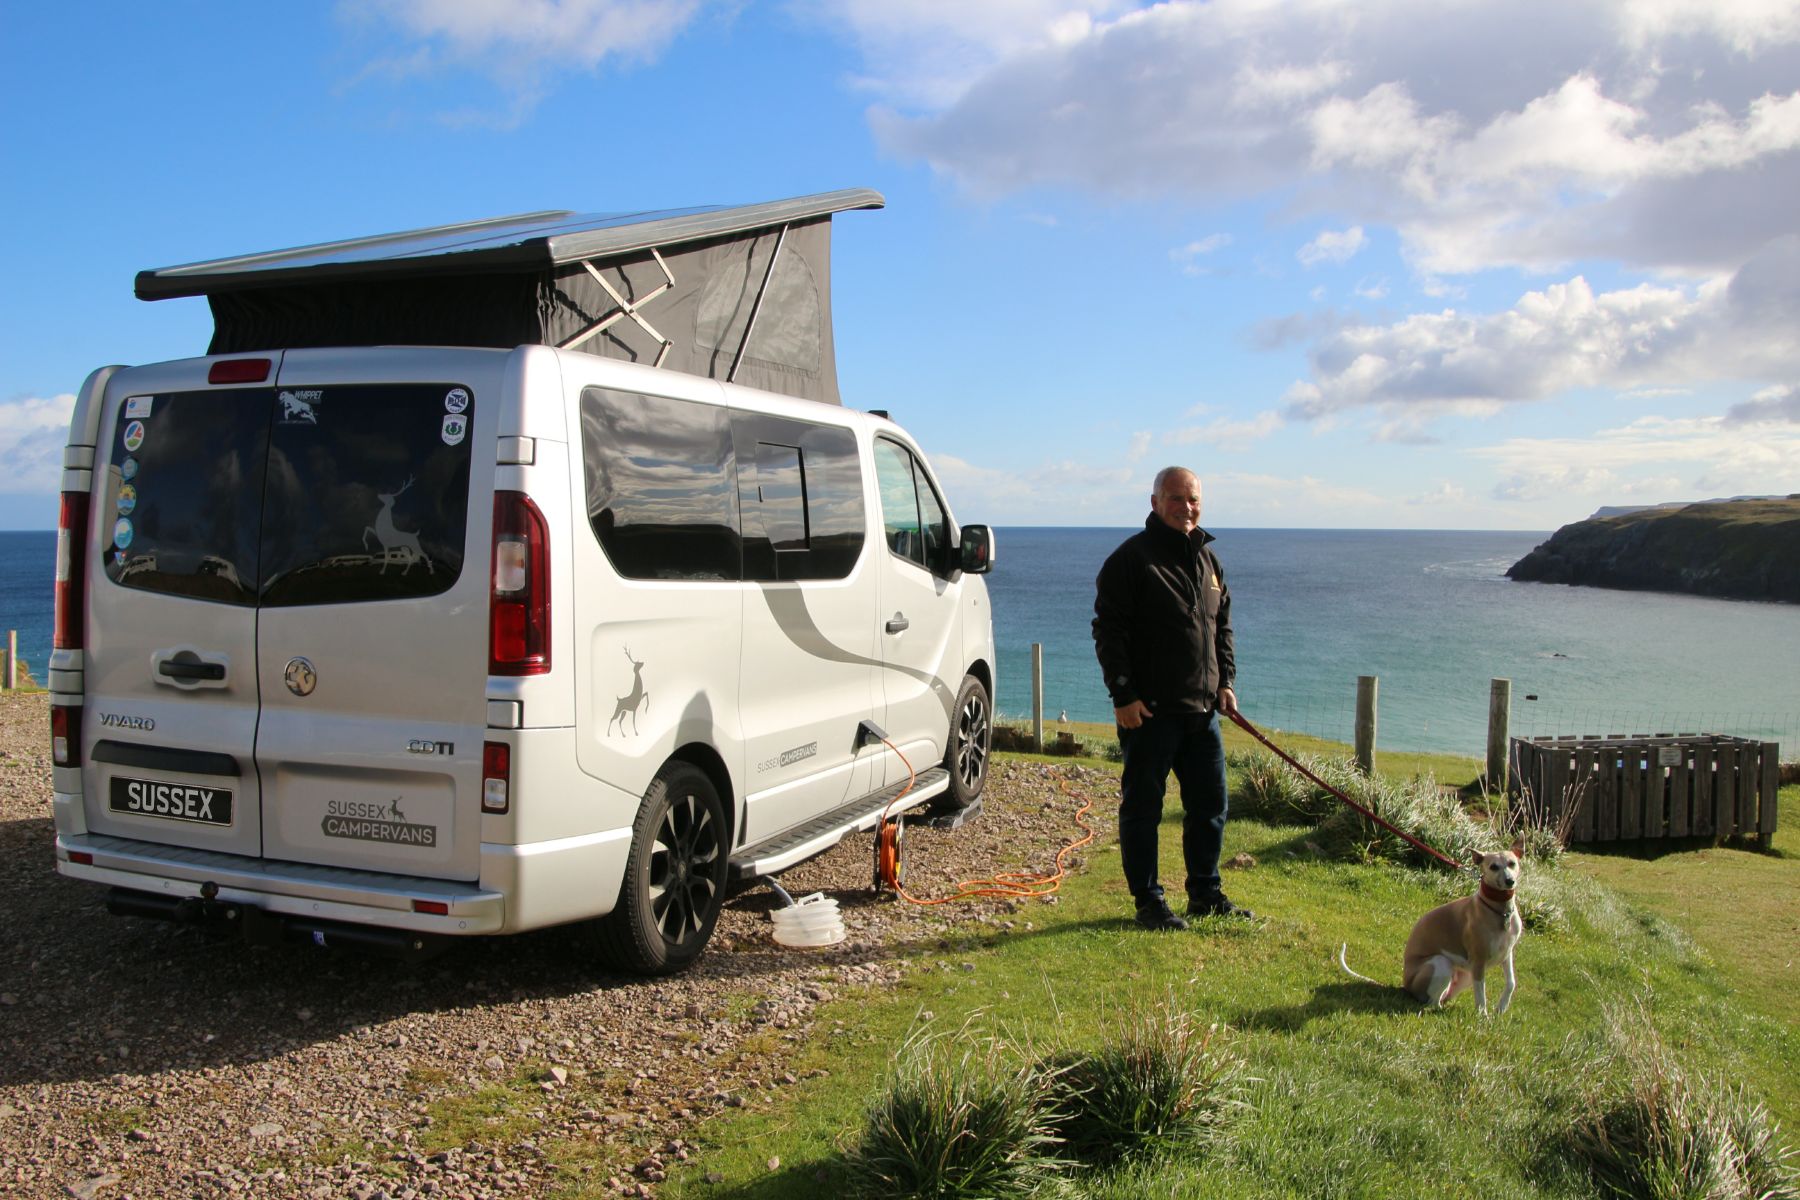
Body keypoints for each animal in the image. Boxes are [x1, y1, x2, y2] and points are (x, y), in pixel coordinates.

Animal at [1346, 841, 1526, 1021]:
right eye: (1493, 866)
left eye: (1512, 863)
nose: (1509, 881)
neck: (1500, 911)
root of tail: (1405, 985)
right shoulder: (1478, 961)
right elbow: (1481, 993)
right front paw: (1483, 1017)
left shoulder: (1506, 953)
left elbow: (1511, 982)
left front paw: (1501, 1008)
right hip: (1441, 964)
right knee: (1431, 1002)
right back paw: (1439, 1010)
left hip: (1464, 976)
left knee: (1442, 997)